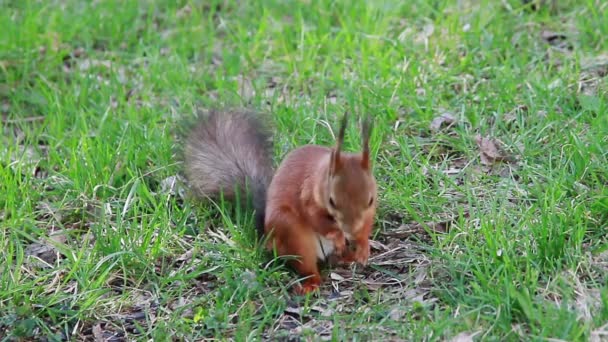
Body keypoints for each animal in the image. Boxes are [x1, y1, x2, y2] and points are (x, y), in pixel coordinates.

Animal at [183, 110, 378, 294]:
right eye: (332, 201)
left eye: (370, 200)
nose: (350, 231)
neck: (321, 174)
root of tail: (268, 239)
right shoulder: (308, 197)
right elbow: (316, 219)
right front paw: (338, 236)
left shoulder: (369, 212)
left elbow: (366, 224)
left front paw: (363, 246)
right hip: (293, 235)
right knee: (308, 267)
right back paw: (311, 284)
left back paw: (350, 257)